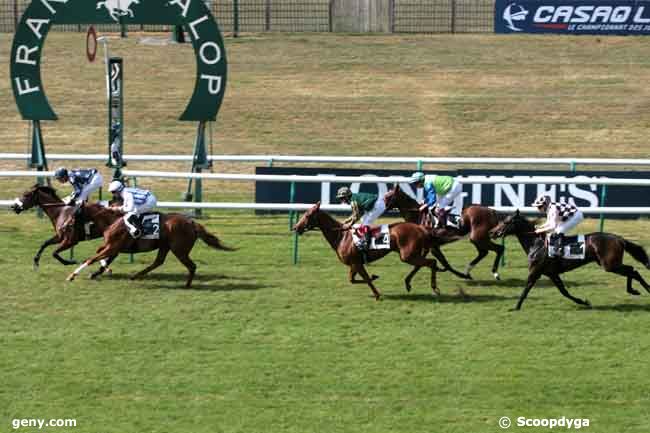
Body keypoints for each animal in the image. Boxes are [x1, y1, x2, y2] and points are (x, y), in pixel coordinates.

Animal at [65, 202, 235, 286]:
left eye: (74, 214)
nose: (65, 225)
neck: (113, 221)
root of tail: (191, 222)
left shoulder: (114, 247)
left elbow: (91, 258)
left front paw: (72, 275)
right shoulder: (113, 247)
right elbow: (100, 257)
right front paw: (98, 272)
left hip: (179, 249)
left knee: (191, 266)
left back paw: (186, 285)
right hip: (166, 246)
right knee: (158, 262)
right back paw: (135, 276)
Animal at [292, 202, 466, 296]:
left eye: (307, 215)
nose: (295, 227)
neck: (341, 236)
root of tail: (421, 227)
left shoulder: (356, 263)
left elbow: (364, 279)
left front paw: (376, 293)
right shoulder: (355, 264)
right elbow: (353, 279)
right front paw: (374, 279)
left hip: (407, 255)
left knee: (431, 262)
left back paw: (434, 288)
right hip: (410, 254)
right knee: (424, 263)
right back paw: (408, 283)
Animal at [492, 210, 648, 308]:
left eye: (506, 222)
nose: (492, 232)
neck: (536, 243)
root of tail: (619, 238)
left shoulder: (535, 271)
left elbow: (526, 289)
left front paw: (515, 307)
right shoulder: (551, 273)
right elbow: (564, 291)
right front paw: (583, 302)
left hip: (610, 265)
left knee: (632, 270)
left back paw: (641, 289)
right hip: (610, 264)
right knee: (632, 270)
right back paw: (636, 290)